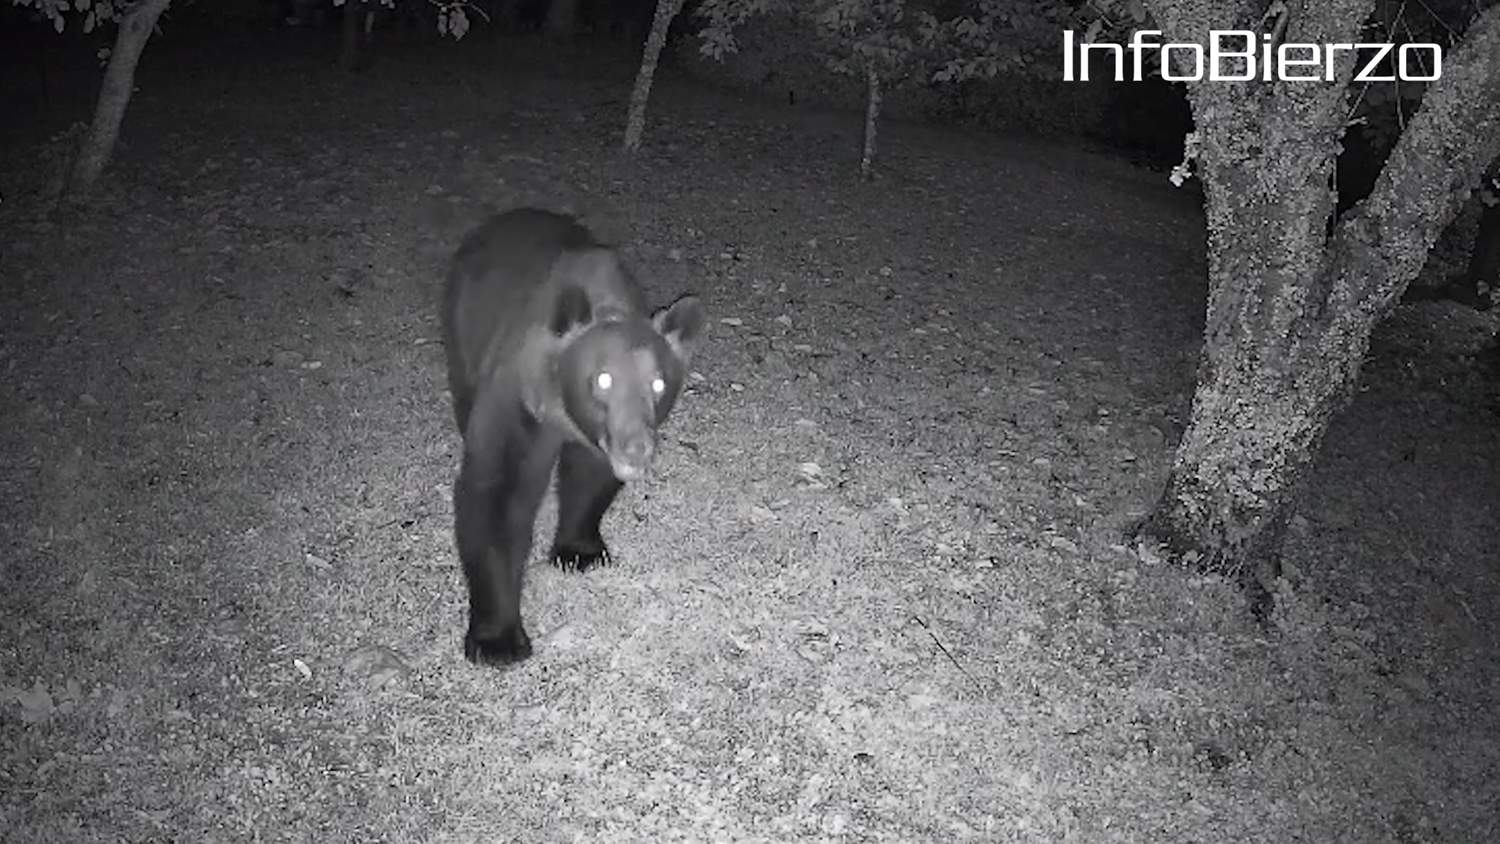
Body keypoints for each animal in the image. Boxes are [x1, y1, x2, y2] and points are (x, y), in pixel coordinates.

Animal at [442, 208, 705, 667]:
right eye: (602, 378)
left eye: (658, 383)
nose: (637, 448)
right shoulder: (518, 398)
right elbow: (496, 494)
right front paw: (497, 640)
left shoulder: (596, 440)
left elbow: (589, 478)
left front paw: (580, 552)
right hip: (462, 332)